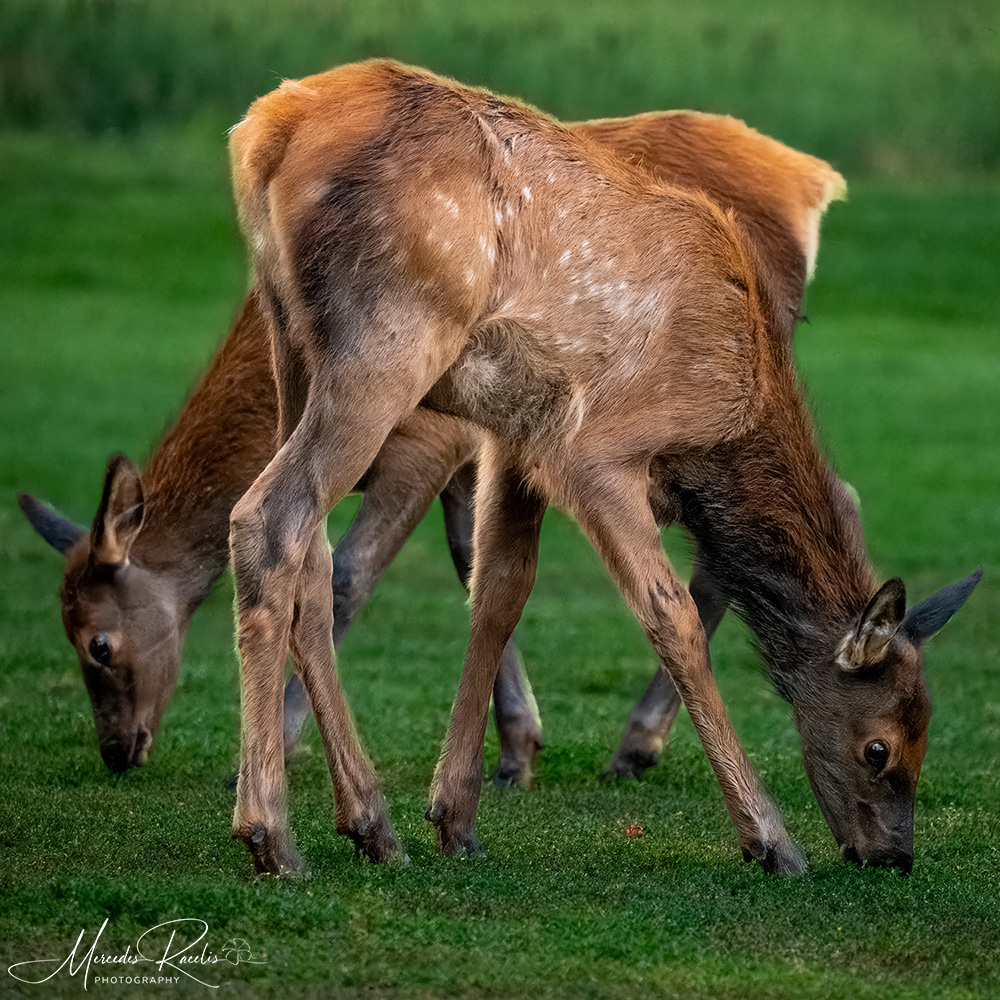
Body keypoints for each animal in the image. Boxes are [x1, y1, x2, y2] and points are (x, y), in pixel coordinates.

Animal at [19, 101, 848, 789]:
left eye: (99, 644)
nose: (117, 751)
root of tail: (813, 182)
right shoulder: (472, 454)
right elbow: (473, 565)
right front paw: (515, 749)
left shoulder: (426, 442)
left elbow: (348, 576)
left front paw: (278, 753)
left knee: (813, 501)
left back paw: (644, 743)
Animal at [224, 59, 981, 877]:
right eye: (880, 748)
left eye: (927, 735)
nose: (893, 856)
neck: (727, 423)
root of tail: (267, 132)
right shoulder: (597, 450)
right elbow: (672, 618)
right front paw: (770, 839)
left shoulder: (518, 439)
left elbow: (498, 593)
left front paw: (456, 817)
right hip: (389, 335)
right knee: (269, 518)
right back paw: (271, 834)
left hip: (292, 342)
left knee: (313, 552)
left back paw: (370, 821)